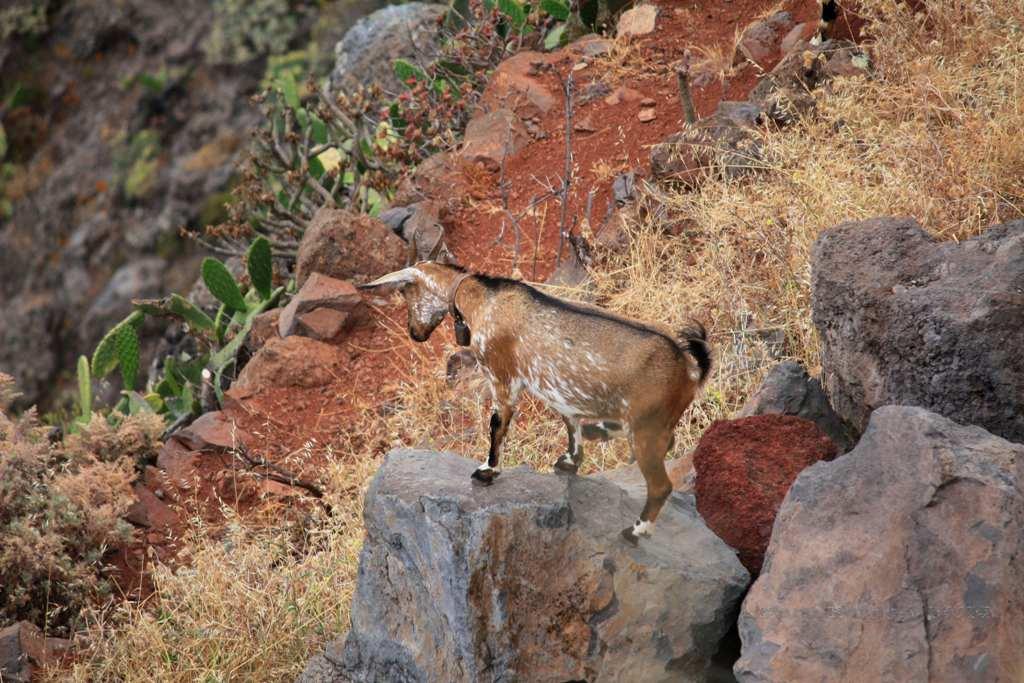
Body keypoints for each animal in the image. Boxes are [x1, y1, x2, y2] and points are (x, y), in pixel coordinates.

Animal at [362, 262, 712, 544]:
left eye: (406, 292)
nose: (415, 333)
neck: (482, 299)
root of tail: (690, 369)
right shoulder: (557, 389)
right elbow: (570, 423)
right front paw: (570, 462)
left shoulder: (502, 378)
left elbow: (497, 425)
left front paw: (487, 471)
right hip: (655, 424)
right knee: (670, 444)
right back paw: (600, 430)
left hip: (646, 429)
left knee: (661, 485)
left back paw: (635, 531)